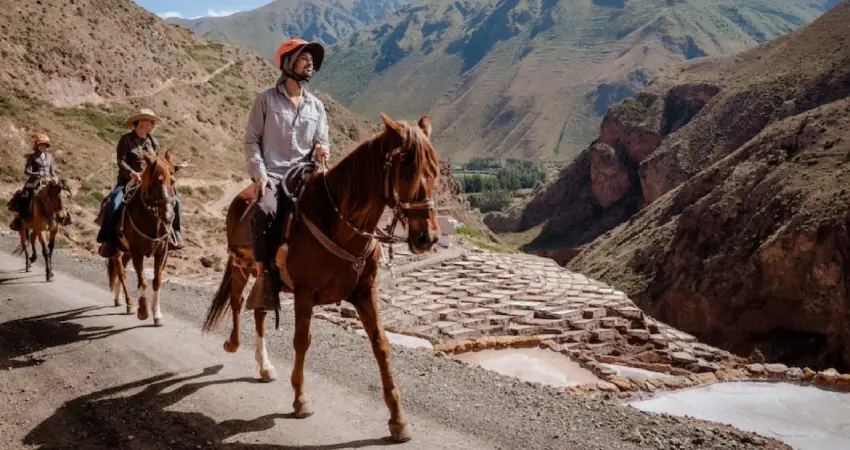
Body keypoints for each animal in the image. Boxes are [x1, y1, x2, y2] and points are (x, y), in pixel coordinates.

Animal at [106, 149, 179, 326]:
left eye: (172, 181)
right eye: (154, 183)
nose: (168, 216)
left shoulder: (162, 252)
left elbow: (157, 281)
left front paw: (157, 314)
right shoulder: (137, 252)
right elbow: (142, 281)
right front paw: (143, 311)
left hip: (127, 251)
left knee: (123, 268)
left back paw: (119, 299)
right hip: (117, 249)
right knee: (121, 272)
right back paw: (129, 303)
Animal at [199, 112, 438, 442]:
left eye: (435, 171)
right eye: (406, 172)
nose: (426, 238)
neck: (341, 223)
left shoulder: (365, 292)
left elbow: (381, 345)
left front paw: (398, 419)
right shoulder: (304, 292)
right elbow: (302, 341)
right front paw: (301, 399)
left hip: (264, 279)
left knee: (259, 312)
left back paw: (265, 367)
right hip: (241, 267)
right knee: (236, 301)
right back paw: (233, 344)